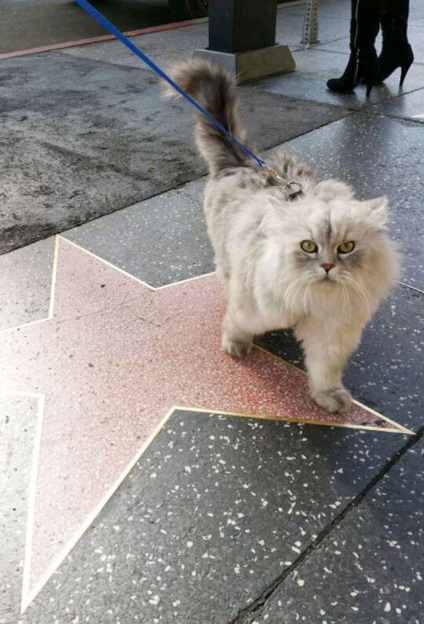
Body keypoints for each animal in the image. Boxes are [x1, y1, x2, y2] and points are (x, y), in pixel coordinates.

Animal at [161, 59, 398, 414]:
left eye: (346, 247)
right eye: (308, 246)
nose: (327, 266)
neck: (312, 301)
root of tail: (242, 161)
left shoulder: (332, 333)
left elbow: (325, 371)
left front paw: (329, 397)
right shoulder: (253, 307)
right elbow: (237, 323)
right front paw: (235, 346)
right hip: (224, 253)